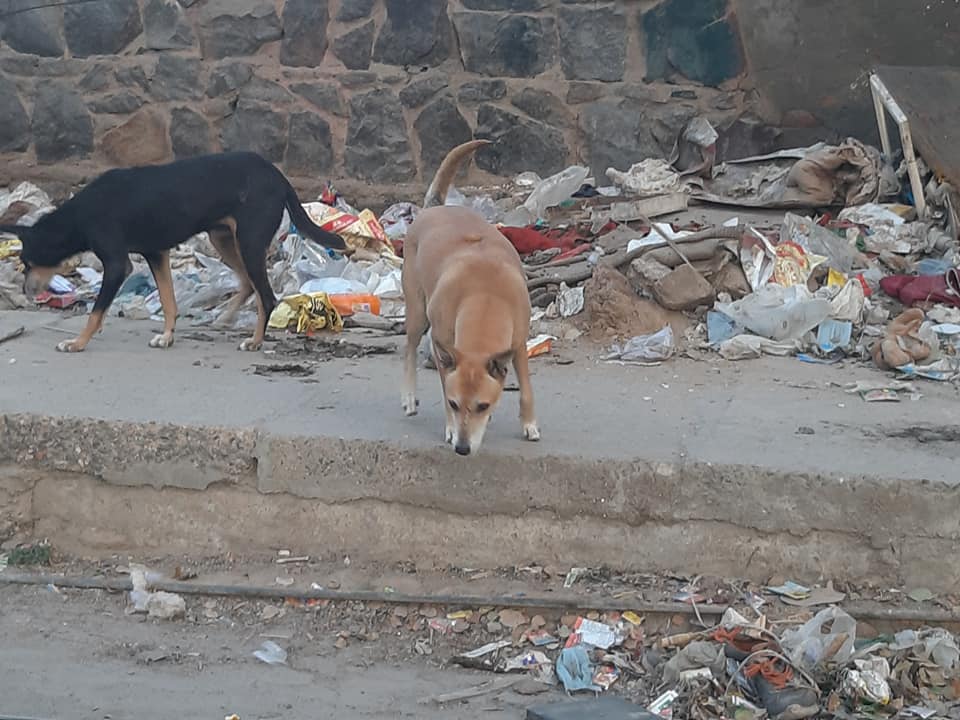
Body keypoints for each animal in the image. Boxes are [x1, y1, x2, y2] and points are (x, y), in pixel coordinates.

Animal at [0, 151, 346, 353]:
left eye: (26, 262)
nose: (26, 291)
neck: (78, 216)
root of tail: (277, 175)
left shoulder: (117, 264)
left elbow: (96, 311)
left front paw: (78, 342)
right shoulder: (157, 254)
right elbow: (168, 301)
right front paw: (167, 336)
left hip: (248, 241)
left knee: (267, 295)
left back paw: (256, 340)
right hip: (223, 238)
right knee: (249, 285)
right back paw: (225, 318)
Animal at [401, 139, 540, 456]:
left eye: (483, 406)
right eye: (455, 404)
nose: (462, 449)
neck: (486, 298)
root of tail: (433, 208)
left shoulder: (519, 344)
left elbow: (525, 389)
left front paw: (529, 424)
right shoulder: (444, 351)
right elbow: (443, 385)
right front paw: (451, 429)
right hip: (417, 312)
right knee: (409, 348)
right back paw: (409, 397)